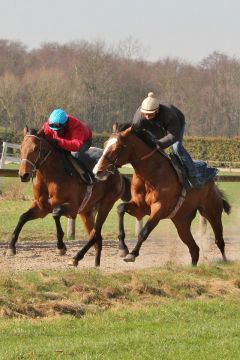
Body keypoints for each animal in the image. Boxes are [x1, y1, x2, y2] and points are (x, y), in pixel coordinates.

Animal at [5, 128, 130, 266]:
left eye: (36, 148)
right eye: (21, 147)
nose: (24, 175)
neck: (50, 177)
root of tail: (118, 174)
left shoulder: (73, 208)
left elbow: (55, 213)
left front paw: (61, 246)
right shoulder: (41, 208)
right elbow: (23, 217)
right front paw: (11, 247)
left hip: (106, 203)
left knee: (96, 232)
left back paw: (120, 248)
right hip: (86, 211)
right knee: (97, 238)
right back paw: (95, 264)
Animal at [92, 126, 231, 264]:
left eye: (117, 147)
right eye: (105, 144)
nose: (98, 171)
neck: (150, 174)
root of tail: (212, 182)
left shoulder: (159, 208)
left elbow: (144, 231)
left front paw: (132, 253)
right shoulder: (140, 207)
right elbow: (120, 208)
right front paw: (123, 248)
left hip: (212, 213)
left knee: (219, 240)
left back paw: (225, 261)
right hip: (181, 222)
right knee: (194, 249)